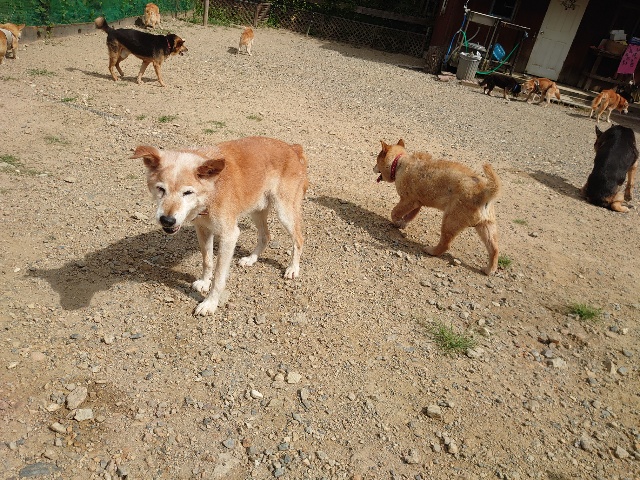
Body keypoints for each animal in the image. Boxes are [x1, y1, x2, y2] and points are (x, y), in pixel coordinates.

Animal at [132, 137, 309, 316]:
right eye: (161, 189)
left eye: (188, 192)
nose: (167, 220)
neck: (211, 192)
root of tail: (292, 148)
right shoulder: (202, 229)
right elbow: (207, 261)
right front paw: (204, 282)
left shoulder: (229, 235)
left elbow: (218, 276)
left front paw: (210, 303)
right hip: (257, 209)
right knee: (265, 235)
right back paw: (251, 259)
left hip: (284, 212)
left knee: (299, 239)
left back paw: (293, 268)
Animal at [374, 139, 501, 275]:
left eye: (377, 161)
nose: (373, 168)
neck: (399, 162)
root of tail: (485, 192)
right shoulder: (417, 203)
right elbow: (409, 216)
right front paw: (403, 223)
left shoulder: (408, 201)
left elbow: (395, 212)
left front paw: (397, 222)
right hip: (486, 227)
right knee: (494, 250)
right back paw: (489, 270)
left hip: (450, 221)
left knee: (446, 244)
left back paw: (431, 251)